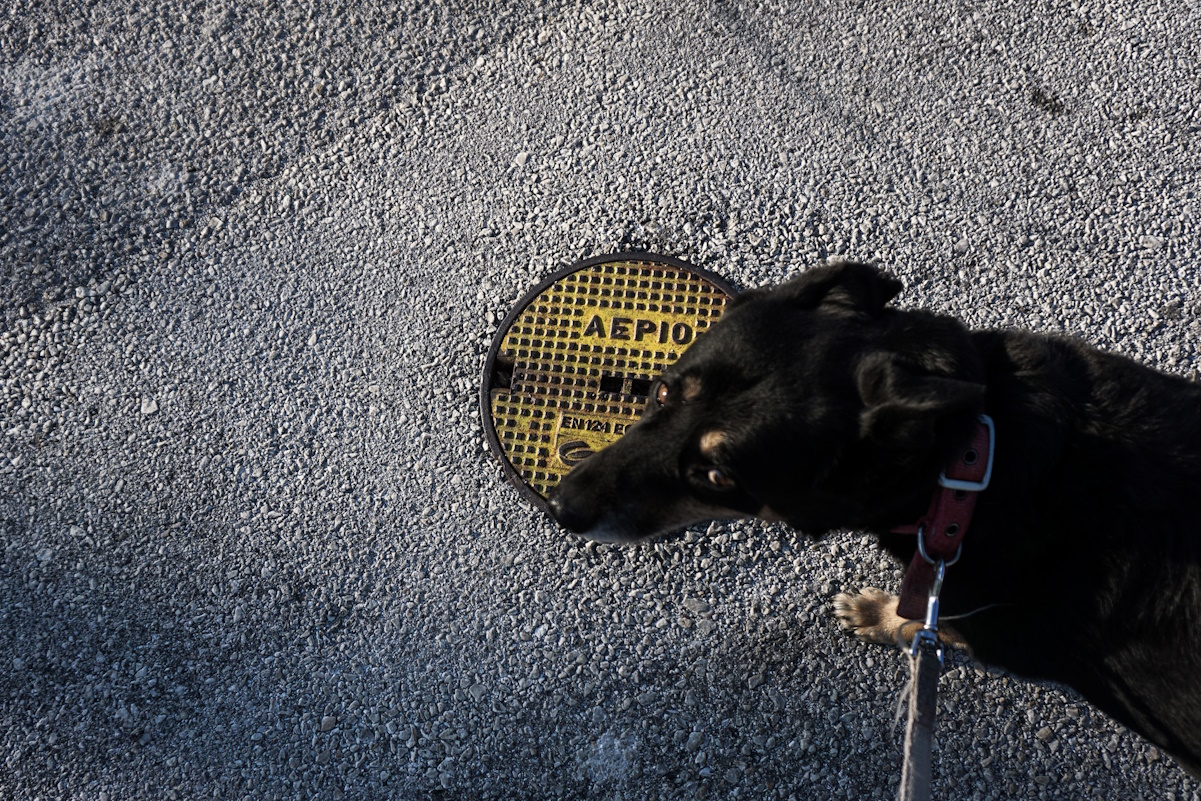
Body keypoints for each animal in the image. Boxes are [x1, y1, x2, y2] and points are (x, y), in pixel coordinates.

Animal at [550, 266, 1201, 778]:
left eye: (717, 476)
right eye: (660, 392)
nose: (563, 507)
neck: (966, 460)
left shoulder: (987, 623)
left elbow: (926, 620)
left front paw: (881, 615)